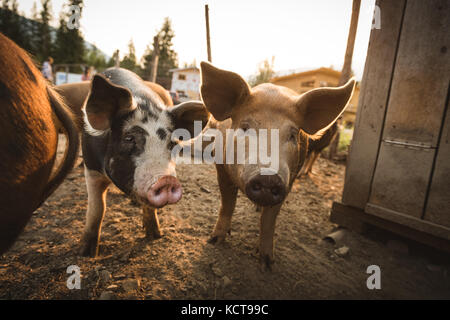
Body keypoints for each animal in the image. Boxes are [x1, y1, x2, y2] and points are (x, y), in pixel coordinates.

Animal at [200, 62, 356, 270]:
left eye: (292, 135)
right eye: (245, 127)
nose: (268, 177)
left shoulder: (288, 181)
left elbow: (269, 220)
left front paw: (267, 264)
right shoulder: (222, 171)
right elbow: (227, 205)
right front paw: (214, 241)